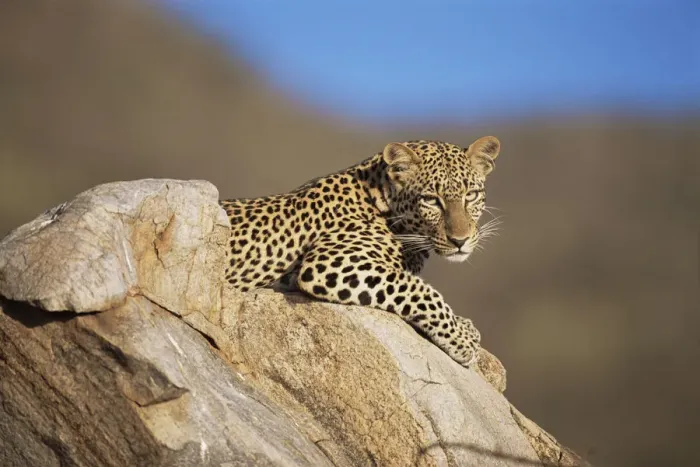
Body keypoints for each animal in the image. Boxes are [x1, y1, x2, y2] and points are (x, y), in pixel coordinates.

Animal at [220, 136, 501, 367]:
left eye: (471, 195)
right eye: (431, 200)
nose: (460, 241)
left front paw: (464, 326)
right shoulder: (328, 262)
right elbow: (419, 289)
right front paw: (462, 339)